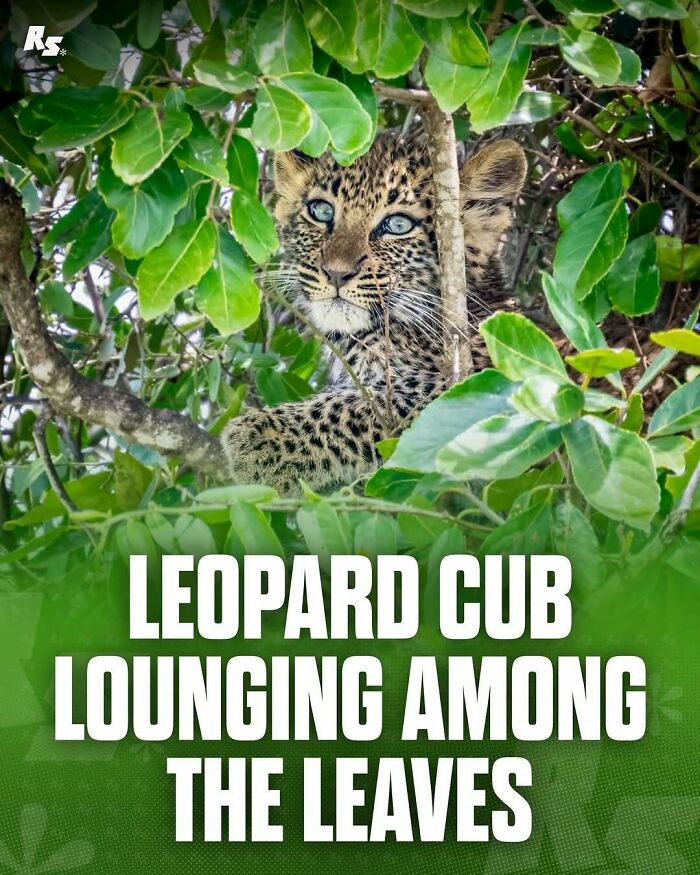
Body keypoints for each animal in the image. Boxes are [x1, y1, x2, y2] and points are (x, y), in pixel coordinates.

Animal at [222, 133, 527, 494]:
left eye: (397, 225)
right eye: (321, 211)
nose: (336, 273)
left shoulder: (482, 381)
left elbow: (362, 404)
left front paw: (261, 440)